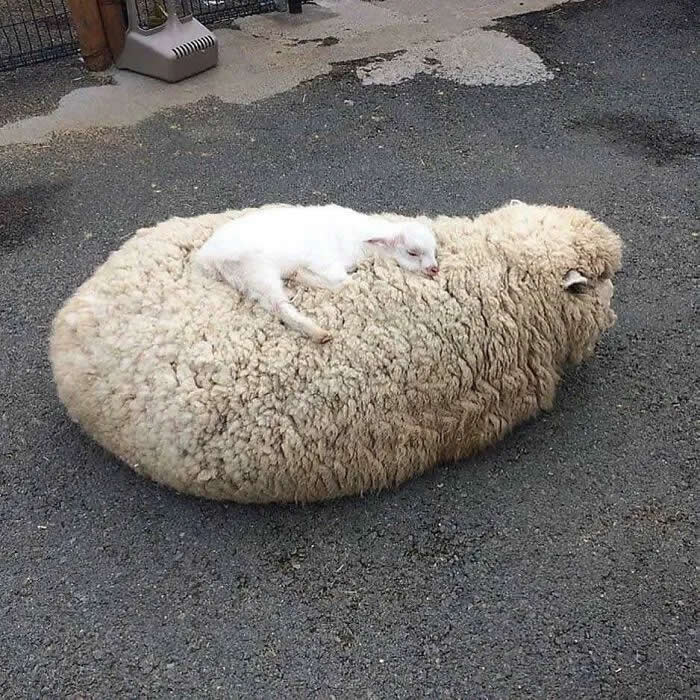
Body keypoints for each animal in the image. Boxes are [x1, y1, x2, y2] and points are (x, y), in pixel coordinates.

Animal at [49, 200, 623, 503]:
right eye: (601, 280)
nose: (434, 269)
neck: (498, 270)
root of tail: (69, 318)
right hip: (259, 273)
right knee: (281, 299)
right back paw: (315, 322)